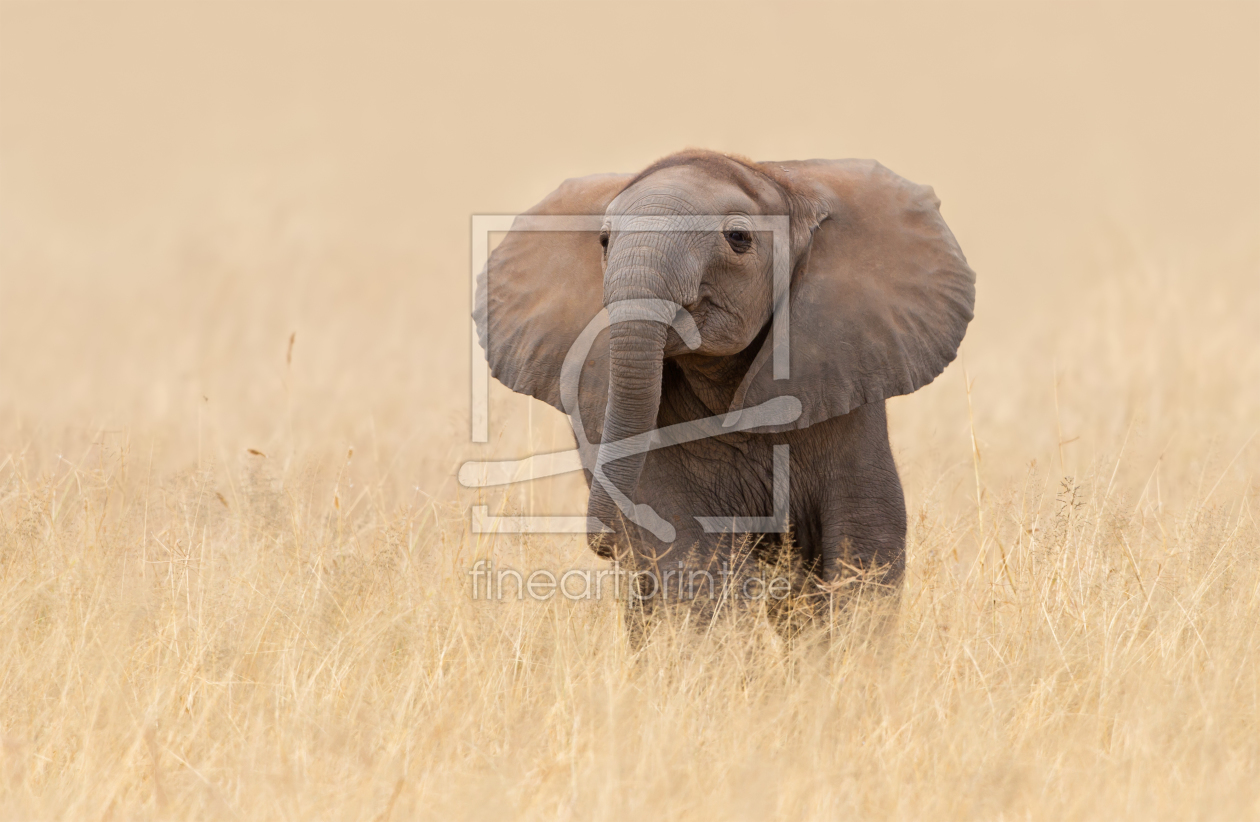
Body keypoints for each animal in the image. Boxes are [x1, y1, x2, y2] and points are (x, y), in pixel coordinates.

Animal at [473, 152, 972, 615]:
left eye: (738, 238)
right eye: (604, 240)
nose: (603, 541)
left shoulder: (846, 375)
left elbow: (864, 542)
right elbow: (693, 549)